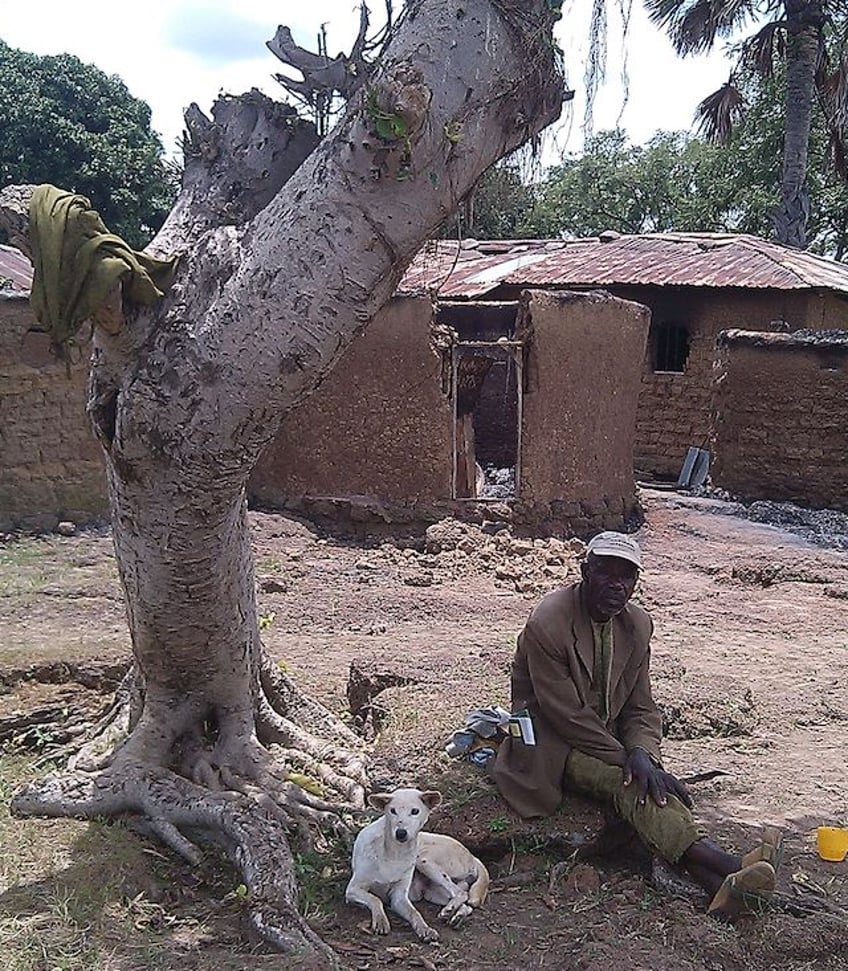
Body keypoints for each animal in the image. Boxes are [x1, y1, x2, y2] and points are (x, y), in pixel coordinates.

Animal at [344, 788, 490, 940]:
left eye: (415, 811)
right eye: (392, 810)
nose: (401, 833)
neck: (395, 854)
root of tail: (473, 856)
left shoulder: (398, 897)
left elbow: (415, 913)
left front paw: (425, 929)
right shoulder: (352, 889)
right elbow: (375, 899)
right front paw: (381, 920)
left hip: (424, 861)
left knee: (461, 893)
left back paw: (452, 912)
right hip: (433, 892)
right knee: (465, 901)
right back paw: (454, 914)